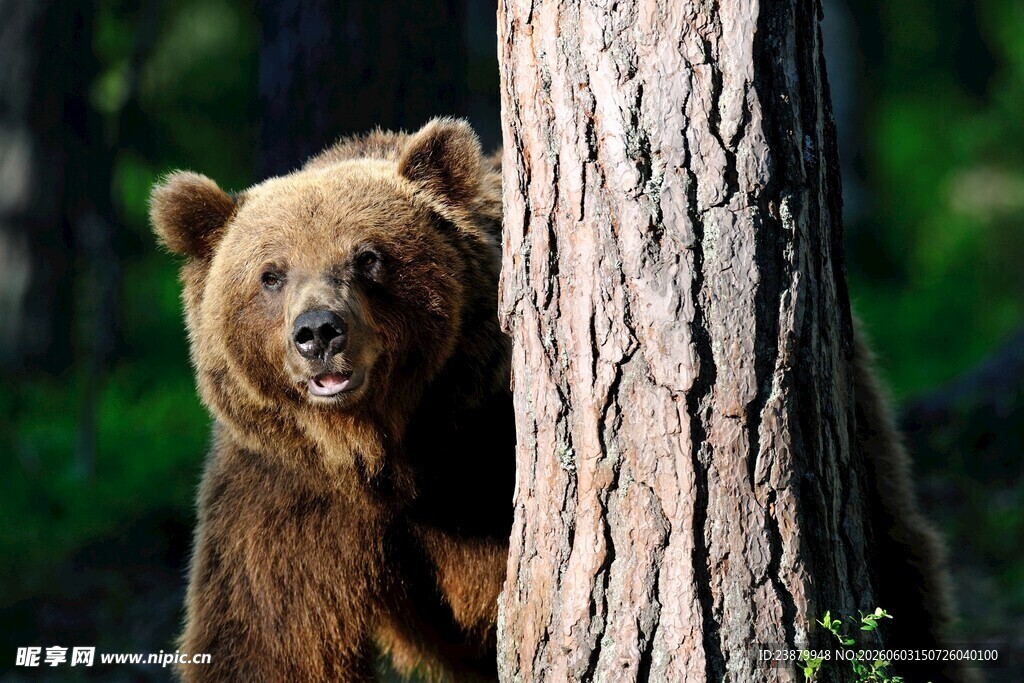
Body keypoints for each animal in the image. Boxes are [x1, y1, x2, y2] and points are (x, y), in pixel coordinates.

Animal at [150, 118, 515, 682]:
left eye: (367, 256)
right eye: (271, 274)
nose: (318, 331)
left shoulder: (484, 458)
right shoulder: (283, 499)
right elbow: (265, 644)